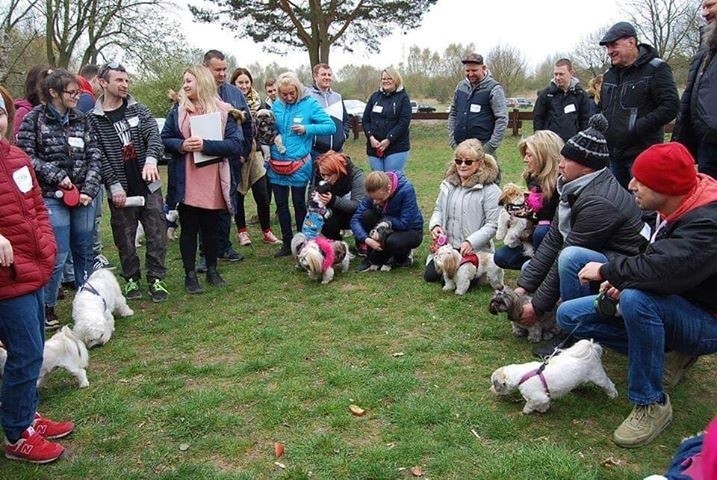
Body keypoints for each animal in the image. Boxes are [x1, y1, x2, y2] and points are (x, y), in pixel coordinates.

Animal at [490, 340, 620, 414]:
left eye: (494, 384)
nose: (490, 390)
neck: (523, 375)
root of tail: (591, 349)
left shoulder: (537, 396)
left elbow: (530, 404)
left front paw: (526, 411)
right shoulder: (545, 395)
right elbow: (545, 402)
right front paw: (543, 409)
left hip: (598, 377)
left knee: (609, 384)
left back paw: (613, 395)